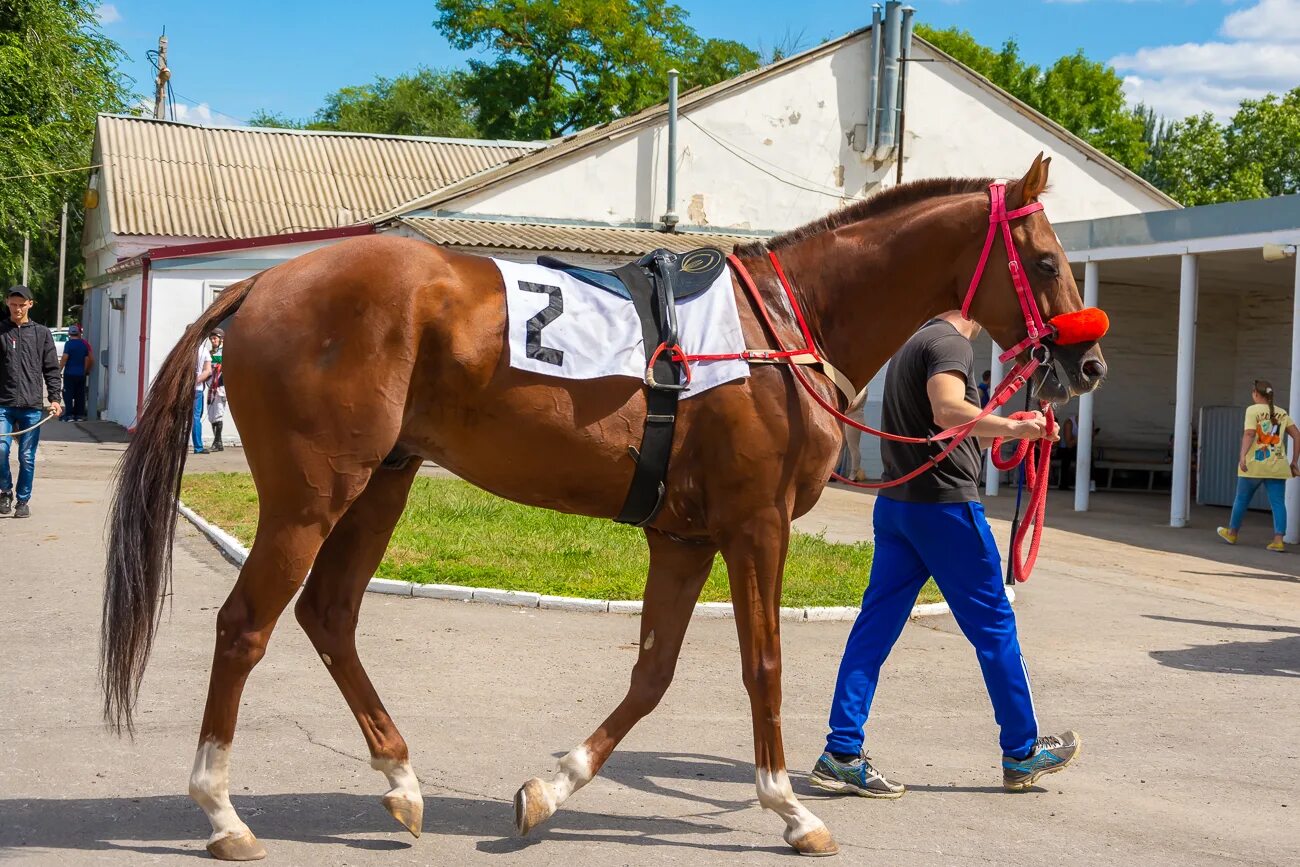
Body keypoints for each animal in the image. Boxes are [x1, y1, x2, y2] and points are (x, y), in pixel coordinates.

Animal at [101, 152, 1102, 857]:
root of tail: (264, 279)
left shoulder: (684, 535)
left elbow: (652, 673)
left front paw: (553, 787)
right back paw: (222, 811)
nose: (1087, 364)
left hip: (383, 480)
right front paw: (788, 807)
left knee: (330, 613)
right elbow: (764, 667)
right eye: (1048, 258)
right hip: (312, 496)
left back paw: (400, 778)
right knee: (246, 625)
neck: (779, 329)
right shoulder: (755, 527)